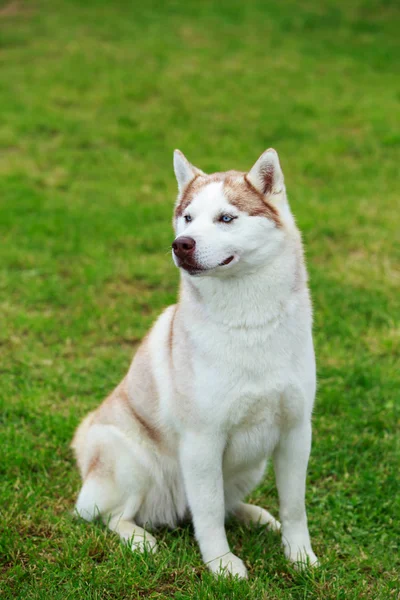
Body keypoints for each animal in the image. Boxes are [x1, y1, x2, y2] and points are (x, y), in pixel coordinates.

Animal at [72, 148, 320, 580]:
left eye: (226, 218)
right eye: (187, 217)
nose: (180, 245)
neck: (248, 324)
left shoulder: (295, 432)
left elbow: (294, 507)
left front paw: (300, 556)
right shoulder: (203, 441)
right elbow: (208, 514)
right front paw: (222, 566)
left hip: (251, 464)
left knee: (227, 504)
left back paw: (255, 516)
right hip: (132, 460)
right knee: (114, 516)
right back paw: (140, 540)